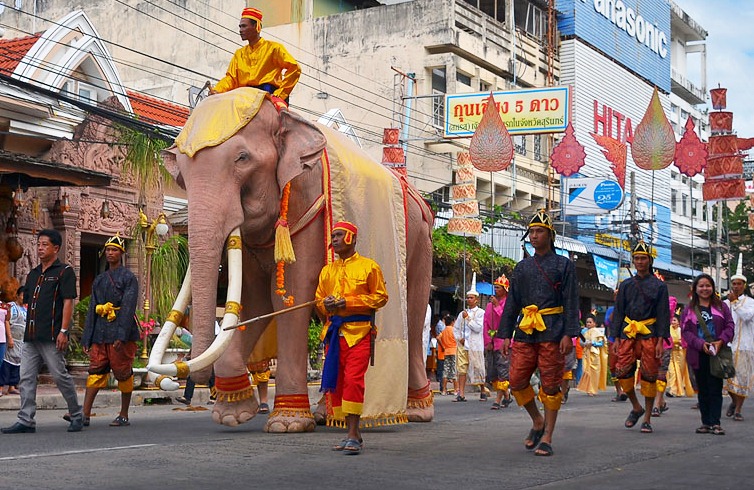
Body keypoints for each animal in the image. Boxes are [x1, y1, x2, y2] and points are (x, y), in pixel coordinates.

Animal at [151, 88, 434, 432]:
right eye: (181, 174)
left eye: (242, 159)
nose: (187, 380)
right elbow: (253, 300)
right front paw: (233, 414)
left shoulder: (308, 206)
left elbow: (289, 298)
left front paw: (287, 422)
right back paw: (329, 415)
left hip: (419, 245)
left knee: (414, 317)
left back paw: (417, 411)